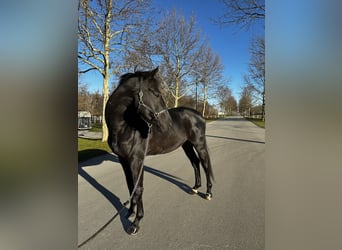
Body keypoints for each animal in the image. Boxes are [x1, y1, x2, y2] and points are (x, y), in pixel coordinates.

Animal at [104, 67, 212, 234]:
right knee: (195, 163)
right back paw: (195, 188)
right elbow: (130, 186)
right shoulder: (124, 160)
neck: (124, 128)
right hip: (186, 145)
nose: (168, 124)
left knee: (205, 164)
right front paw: (130, 212)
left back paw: (208, 193)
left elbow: (138, 189)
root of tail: (199, 115)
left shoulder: (137, 160)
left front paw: (136, 222)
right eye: (156, 93)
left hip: (199, 144)